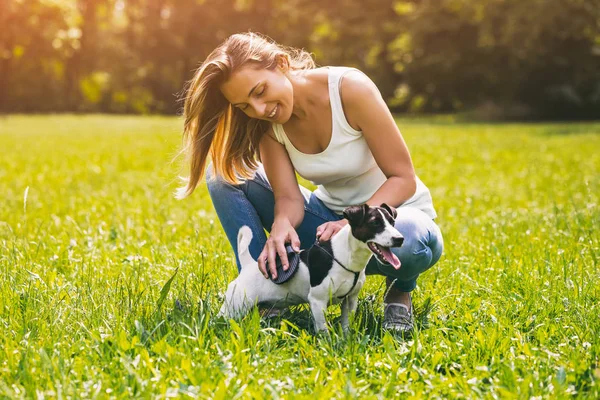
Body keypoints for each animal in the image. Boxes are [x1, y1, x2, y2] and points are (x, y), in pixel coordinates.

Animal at [216, 203, 404, 332]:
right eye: (375, 223)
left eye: (392, 222)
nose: (400, 239)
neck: (345, 256)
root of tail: (249, 265)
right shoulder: (317, 301)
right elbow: (323, 330)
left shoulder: (350, 300)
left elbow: (346, 325)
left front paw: (345, 340)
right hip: (234, 306)